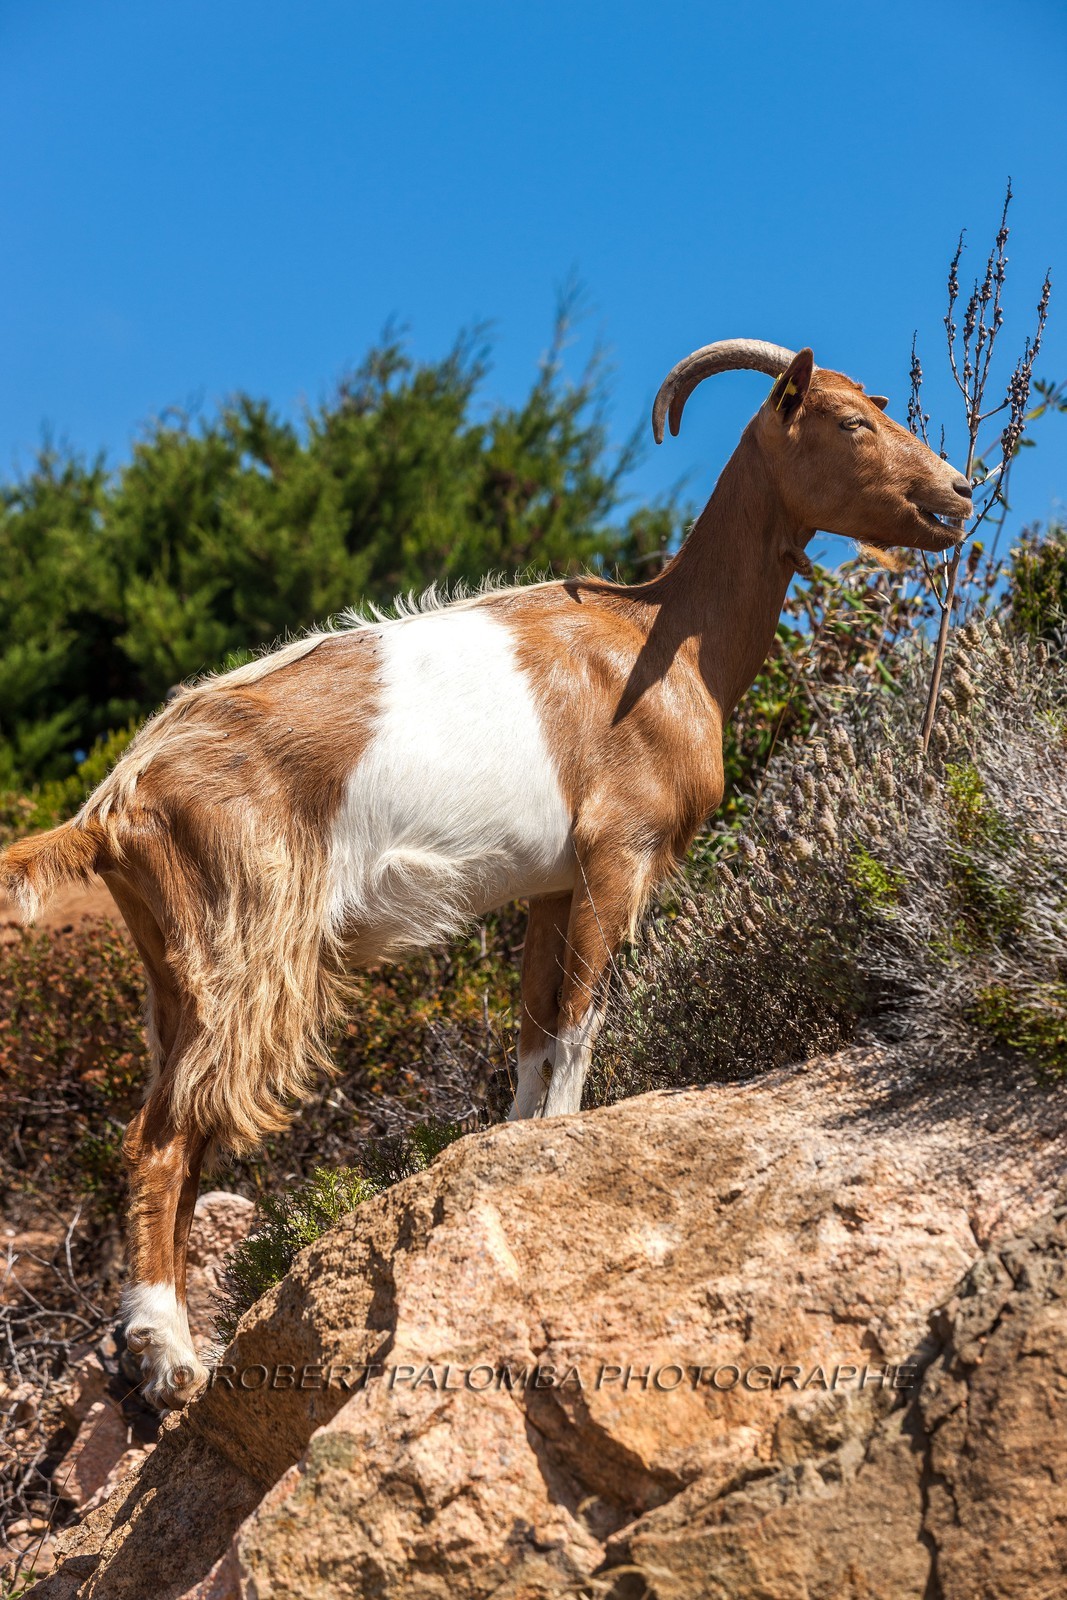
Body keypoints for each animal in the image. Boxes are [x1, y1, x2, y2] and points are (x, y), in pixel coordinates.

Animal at [1, 339, 973, 1406]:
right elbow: (581, 1028)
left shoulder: (551, 889)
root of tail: (113, 800)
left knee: (174, 1125)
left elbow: (536, 1034)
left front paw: (501, 1159)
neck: (662, 642)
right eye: (849, 422)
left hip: (174, 963)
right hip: (243, 939)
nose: (957, 493)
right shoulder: (615, 859)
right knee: (163, 1137)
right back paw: (168, 1355)